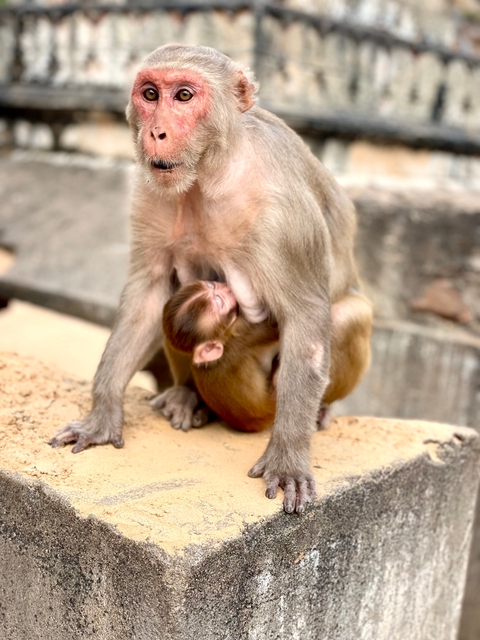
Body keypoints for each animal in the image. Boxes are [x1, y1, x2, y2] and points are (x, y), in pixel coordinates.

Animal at [162, 280, 371, 434]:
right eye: (220, 302)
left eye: (211, 286)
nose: (224, 287)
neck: (224, 338)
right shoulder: (245, 332)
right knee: (340, 317)